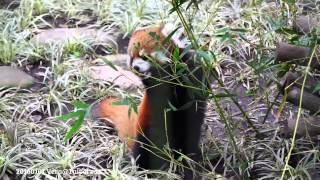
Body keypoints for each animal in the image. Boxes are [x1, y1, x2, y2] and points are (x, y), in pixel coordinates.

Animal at [92, 23, 208, 179]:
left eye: (143, 56)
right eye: (131, 57)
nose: (135, 67)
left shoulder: (192, 71)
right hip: (146, 129)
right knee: (144, 150)